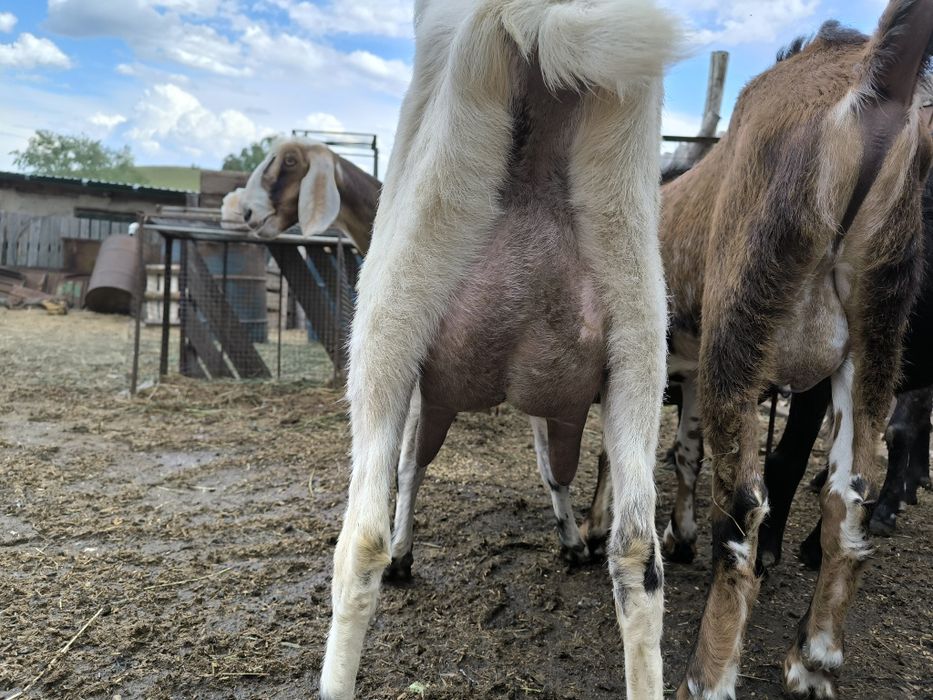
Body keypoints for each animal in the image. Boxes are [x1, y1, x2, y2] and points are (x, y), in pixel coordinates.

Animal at [319, 1, 681, 698]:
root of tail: (537, 22)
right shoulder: (550, 398)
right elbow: (549, 464)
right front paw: (569, 538)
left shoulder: (422, 386)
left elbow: (411, 466)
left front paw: (407, 552)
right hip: (640, 336)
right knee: (636, 552)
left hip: (389, 321)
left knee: (361, 540)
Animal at [651, 4, 933, 697]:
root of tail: (875, 81)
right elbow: (685, 450)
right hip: (877, 330)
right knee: (849, 496)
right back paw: (814, 657)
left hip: (744, 320)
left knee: (745, 510)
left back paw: (707, 676)